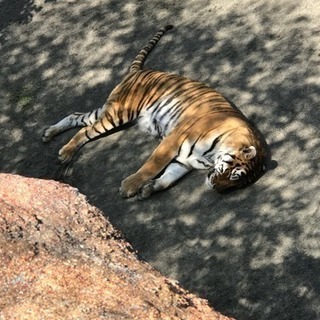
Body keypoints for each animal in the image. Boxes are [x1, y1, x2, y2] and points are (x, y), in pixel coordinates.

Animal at [43, 25, 268, 199]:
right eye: (234, 176)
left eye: (235, 184)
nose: (216, 189)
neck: (213, 156)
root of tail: (138, 71)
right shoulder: (173, 140)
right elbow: (152, 166)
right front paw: (129, 186)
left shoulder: (186, 161)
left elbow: (168, 178)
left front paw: (149, 189)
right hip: (119, 114)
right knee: (85, 131)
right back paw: (65, 152)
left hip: (109, 111)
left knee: (76, 116)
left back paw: (49, 134)